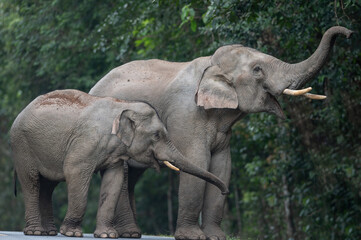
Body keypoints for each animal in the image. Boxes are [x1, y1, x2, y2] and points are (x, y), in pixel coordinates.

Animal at [9, 89, 228, 238]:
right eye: (157, 135)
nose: (226, 191)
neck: (123, 105)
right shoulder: (85, 144)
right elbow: (74, 172)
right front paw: (72, 233)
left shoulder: (114, 154)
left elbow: (113, 180)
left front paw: (106, 235)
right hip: (22, 146)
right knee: (32, 182)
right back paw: (36, 232)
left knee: (48, 185)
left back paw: (49, 232)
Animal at [89, 26, 352, 240]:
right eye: (257, 70)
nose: (349, 33)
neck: (212, 64)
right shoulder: (186, 116)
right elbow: (198, 162)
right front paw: (193, 237)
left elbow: (222, 166)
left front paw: (216, 236)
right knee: (124, 175)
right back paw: (129, 233)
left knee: (133, 176)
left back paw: (130, 232)